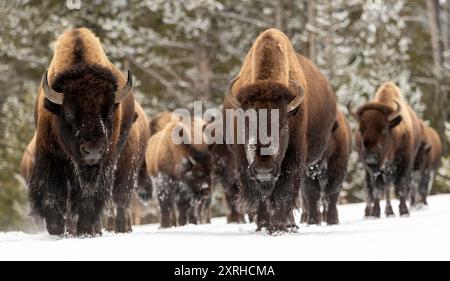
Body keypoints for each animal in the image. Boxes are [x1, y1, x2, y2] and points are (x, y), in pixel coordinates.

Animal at [29, 27, 149, 234]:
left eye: (108, 112)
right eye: (68, 113)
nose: (92, 151)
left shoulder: (105, 162)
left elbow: (91, 195)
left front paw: (85, 228)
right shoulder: (49, 154)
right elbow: (51, 192)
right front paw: (56, 227)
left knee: (121, 198)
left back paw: (113, 228)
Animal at [223, 27, 336, 232]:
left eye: (284, 127)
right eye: (246, 125)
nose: (264, 170)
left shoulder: (294, 157)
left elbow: (283, 192)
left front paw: (278, 226)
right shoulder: (244, 162)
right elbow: (262, 195)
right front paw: (264, 225)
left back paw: (290, 224)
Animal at [348, 81, 422, 217]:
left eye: (383, 129)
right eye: (361, 129)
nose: (371, 159)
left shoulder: (404, 163)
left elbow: (400, 186)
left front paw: (404, 211)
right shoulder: (375, 169)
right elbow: (377, 189)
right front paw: (376, 212)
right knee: (371, 187)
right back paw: (369, 212)